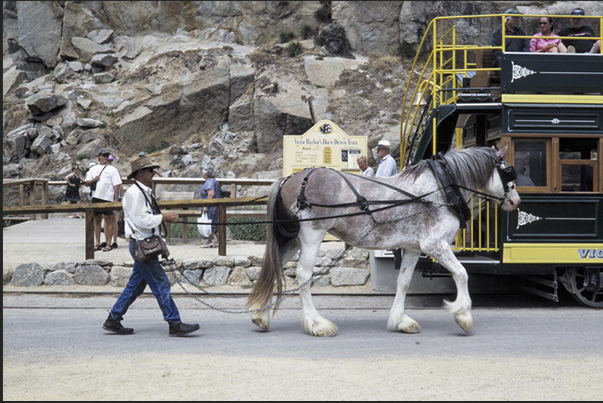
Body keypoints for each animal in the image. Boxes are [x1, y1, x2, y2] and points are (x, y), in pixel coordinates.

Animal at [248, 147, 520, 336]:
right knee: (303, 275)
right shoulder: (435, 245)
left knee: (274, 269)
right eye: (508, 171)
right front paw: (463, 314)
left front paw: (400, 320)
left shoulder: (413, 249)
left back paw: (262, 317)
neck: (441, 189)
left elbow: (403, 283)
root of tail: (289, 179)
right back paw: (316, 324)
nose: (515, 200)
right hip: (312, 236)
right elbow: (462, 274)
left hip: (292, 240)